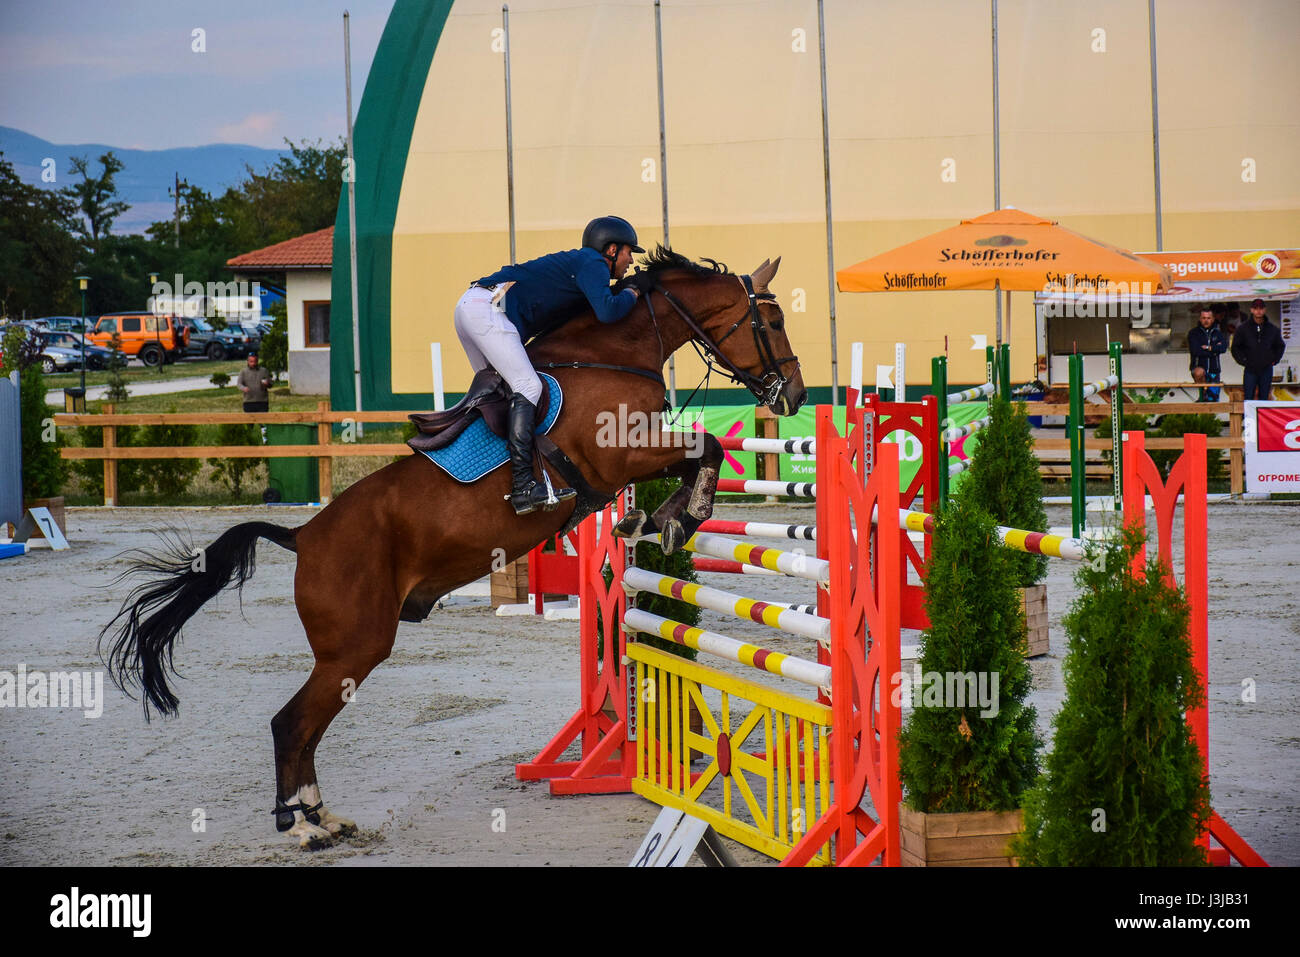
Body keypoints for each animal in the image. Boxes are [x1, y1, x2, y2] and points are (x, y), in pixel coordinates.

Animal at [104, 250, 800, 847]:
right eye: (771, 320)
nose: (792, 395)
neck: (612, 353)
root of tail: (304, 537)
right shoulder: (618, 455)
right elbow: (706, 446)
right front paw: (680, 518)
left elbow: (698, 453)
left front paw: (655, 520)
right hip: (356, 646)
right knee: (291, 723)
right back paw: (300, 825)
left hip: (351, 651)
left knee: (303, 727)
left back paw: (326, 818)